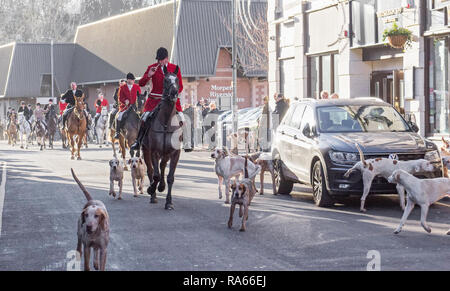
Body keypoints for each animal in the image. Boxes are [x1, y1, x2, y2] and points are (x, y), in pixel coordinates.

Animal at [142, 67, 182, 211]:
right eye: (165, 80)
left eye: (177, 80)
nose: (174, 92)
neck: (166, 122)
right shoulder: (154, 152)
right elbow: (155, 175)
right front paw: (151, 189)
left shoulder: (175, 153)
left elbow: (170, 177)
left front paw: (169, 202)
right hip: (146, 151)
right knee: (151, 171)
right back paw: (153, 194)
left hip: (166, 154)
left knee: (162, 166)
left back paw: (161, 186)